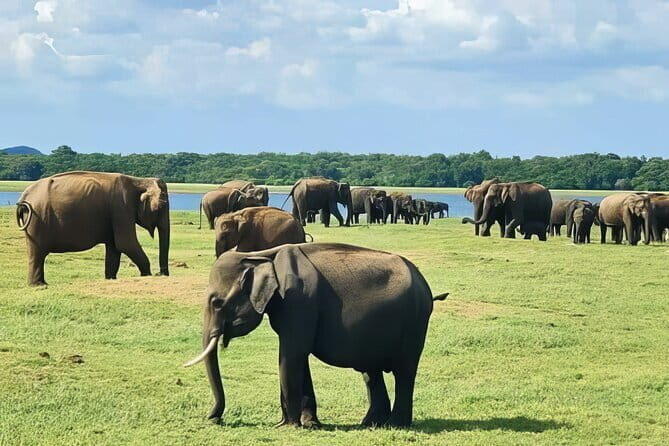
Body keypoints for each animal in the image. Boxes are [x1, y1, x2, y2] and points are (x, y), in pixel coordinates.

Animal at [15, 171, 170, 286]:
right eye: (162, 205)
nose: (161, 273)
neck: (138, 180)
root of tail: (23, 197)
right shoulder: (121, 208)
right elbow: (126, 243)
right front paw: (147, 275)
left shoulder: (116, 214)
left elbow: (115, 247)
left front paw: (110, 278)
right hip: (37, 220)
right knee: (38, 253)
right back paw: (39, 285)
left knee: (36, 253)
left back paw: (41, 284)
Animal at [184, 243, 448, 428]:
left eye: (216, 303)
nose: (214, 418)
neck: (261, 255)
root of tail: (426, 287)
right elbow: (300, 359)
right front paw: (310, 424)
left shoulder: (298, 301)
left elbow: (291, 355)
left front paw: (286, 425)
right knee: (370, 372)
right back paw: (371, 424)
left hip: (414, 323)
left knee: (404, 371)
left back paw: (396, 424)